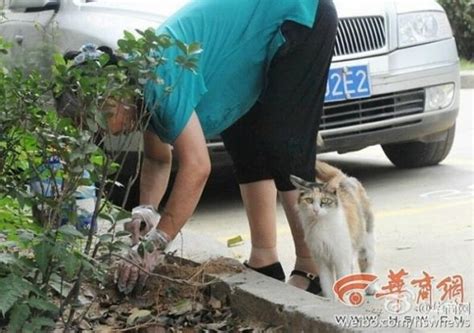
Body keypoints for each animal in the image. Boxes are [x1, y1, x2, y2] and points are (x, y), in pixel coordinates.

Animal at [290, 161, 376, 298]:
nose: (315, 210)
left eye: (324, 201)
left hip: (366, 240)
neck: (321, 225)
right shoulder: (322, 261)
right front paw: (330, 301)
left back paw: (371, 288)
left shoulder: (341, 258)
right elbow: (327, 286)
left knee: (368, 263)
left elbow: (342, 281)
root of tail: (345, 178)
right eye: (309, 200)